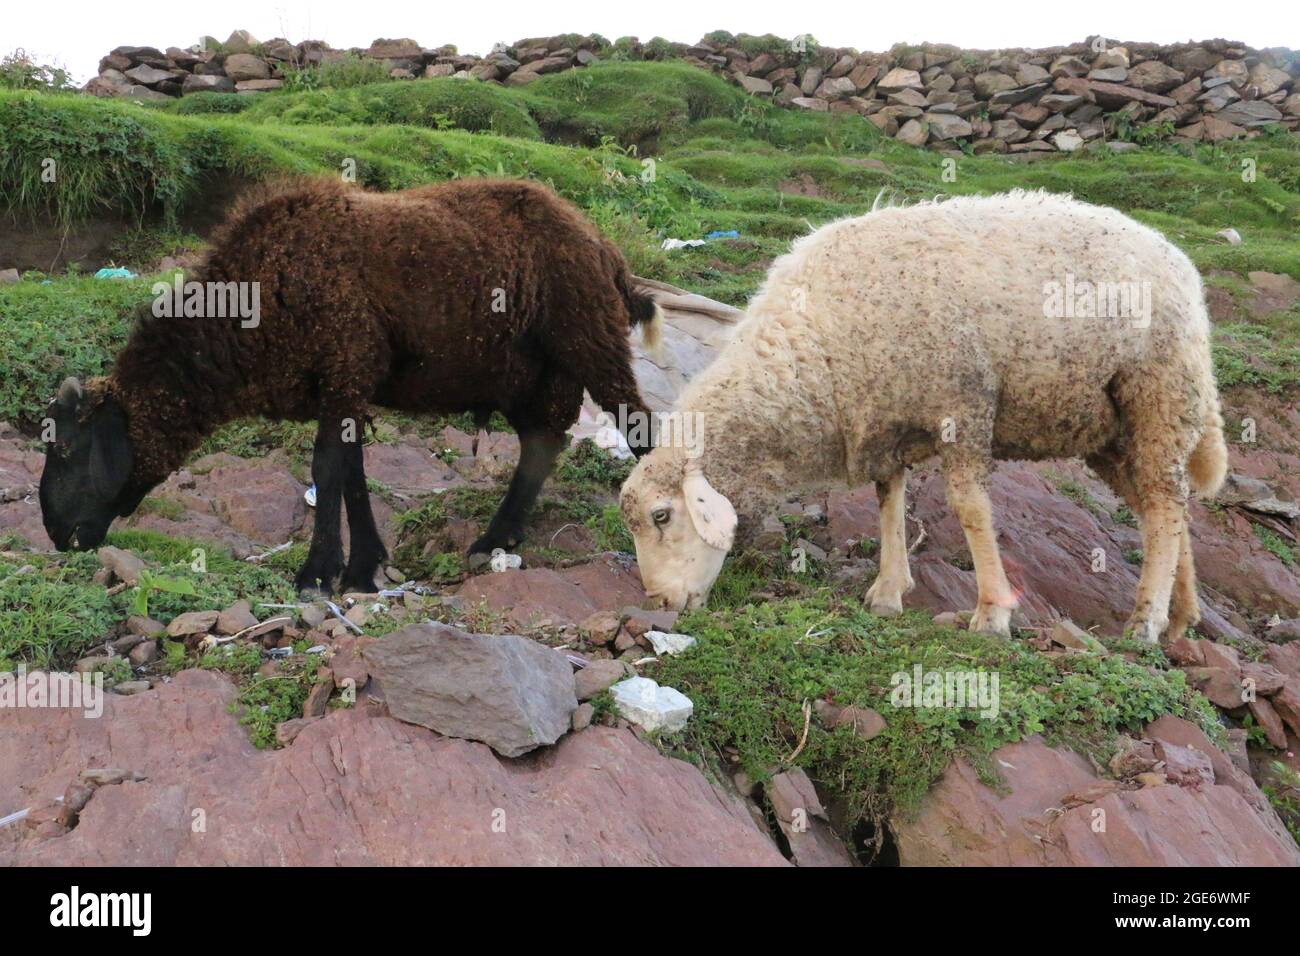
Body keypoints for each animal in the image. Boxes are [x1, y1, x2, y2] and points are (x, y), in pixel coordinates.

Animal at [43, 175, 660, 595]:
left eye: (69, 447)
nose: (57, 535)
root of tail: (604, 247)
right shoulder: (344, 384)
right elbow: (353, 473)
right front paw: (363, 567)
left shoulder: (343, 364)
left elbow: (327, 469)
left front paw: (317, 572)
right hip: (534, 373)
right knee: (542, 443)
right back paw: (496, 540)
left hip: (588, 340)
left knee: (638, 430)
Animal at [624, 188, 1222, 642]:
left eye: (662, 516)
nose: (658, 601)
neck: (819, 349)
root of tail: (1178, 258)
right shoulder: (885, 420)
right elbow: (888, 499)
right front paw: (889, 590)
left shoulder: (964, 401)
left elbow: (970, 509)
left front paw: (992, 613)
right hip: (1108, 429)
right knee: (1162, 504)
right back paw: (1181, 615)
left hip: (1159, 390)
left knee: (1164, 504)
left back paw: (1146, 621)